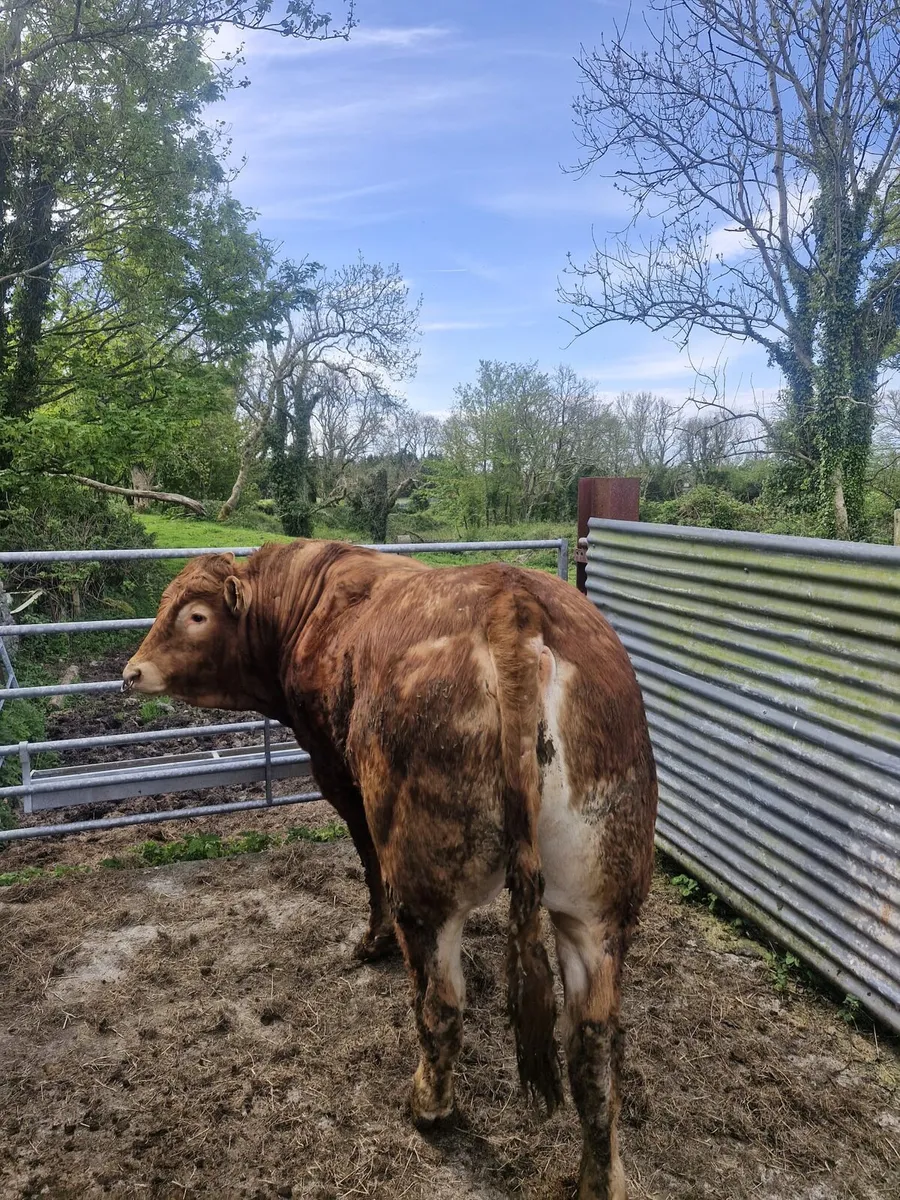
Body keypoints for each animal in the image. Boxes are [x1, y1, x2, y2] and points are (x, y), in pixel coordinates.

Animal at [122, 539, 657, 1200]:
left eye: (194, 615)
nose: (130, 672)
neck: (310, 604)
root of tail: (514, 603)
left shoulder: (338, 775)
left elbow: (367, 864)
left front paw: (369, 941)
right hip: (599, 906)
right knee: (595, 1048)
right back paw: (599, 1177)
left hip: (425, 878)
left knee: (442, 1001)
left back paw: (427, 1104)